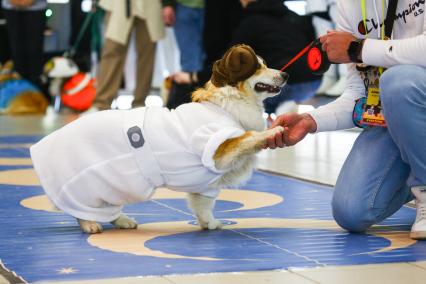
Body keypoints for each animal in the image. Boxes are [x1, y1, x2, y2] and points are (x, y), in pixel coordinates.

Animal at [30, 44, 290, 234]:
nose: (286, 74)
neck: (229, 101)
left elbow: (203, 206)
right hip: (93, 183)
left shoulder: (207, 185)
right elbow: (248, 137)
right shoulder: (219, 149)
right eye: (258, 66)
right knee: (81, 209)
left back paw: (121, 220)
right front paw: (271, 132)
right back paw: (90, 224)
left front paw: (209, 224)